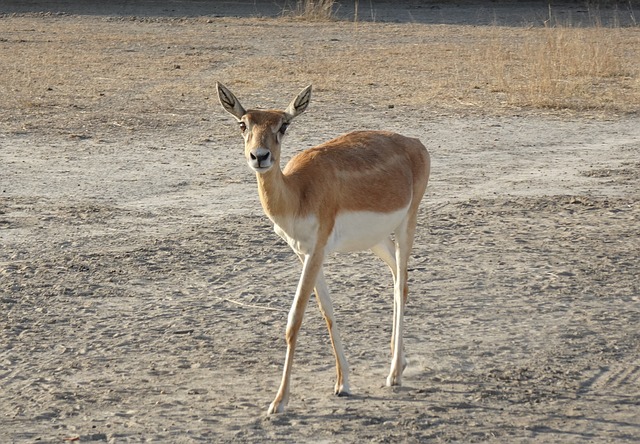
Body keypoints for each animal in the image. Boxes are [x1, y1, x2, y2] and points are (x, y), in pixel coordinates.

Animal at [215, 82, 430, 412]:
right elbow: (327, 311)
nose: (260, 156)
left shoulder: (316, 251)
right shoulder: (303, 253)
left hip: (408, 222)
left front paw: (278, 401)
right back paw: (400, 362)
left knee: (401, 283)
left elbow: (295, 319)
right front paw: (343, 383)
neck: (298, 192)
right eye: (243, 124)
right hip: (376, 240)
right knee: (398, 279)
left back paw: (394, 374)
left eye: (283, 125)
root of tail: (416, 143)